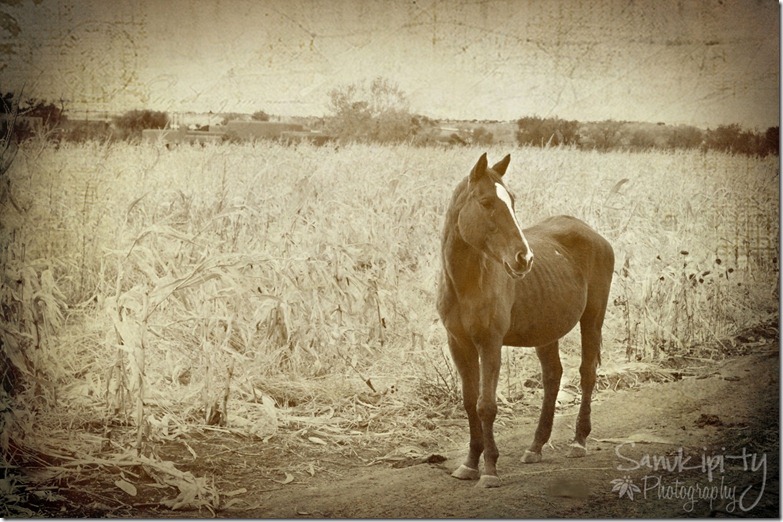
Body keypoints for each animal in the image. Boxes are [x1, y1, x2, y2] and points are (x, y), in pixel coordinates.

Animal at [436, 153, 614, 488]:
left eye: (513, 200)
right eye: (486, 202)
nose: (524, 259)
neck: (466, 283)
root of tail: (593, 234)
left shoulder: (490, 344)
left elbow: (486, 405)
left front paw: (490, 469)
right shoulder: (459, 344)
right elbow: (469, 402)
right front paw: (469, 464)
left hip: (593, 317)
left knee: (586, 373)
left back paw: (579, 441)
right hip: (547, 331)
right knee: (553, 377)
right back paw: (536, 446)